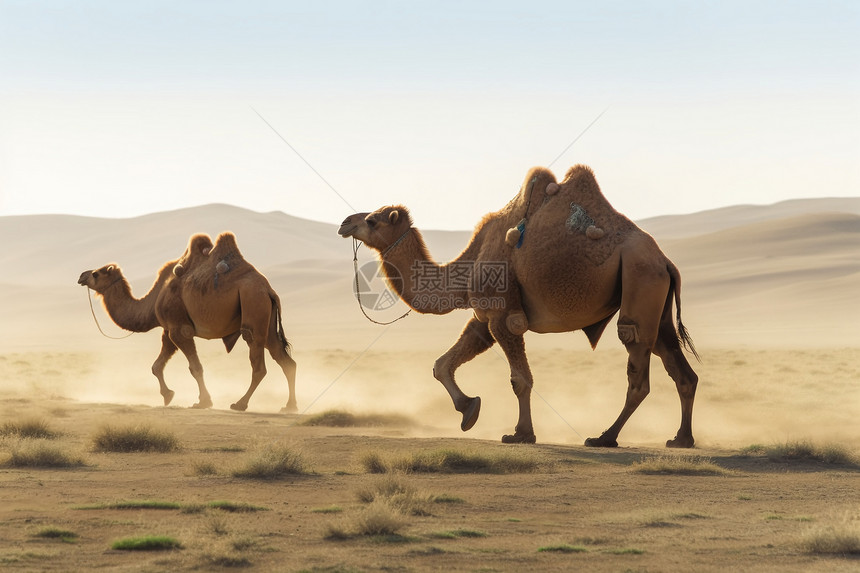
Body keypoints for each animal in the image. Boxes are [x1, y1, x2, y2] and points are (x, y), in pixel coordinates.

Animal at [78, 230, 298, 414]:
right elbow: (156, 366)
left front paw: (204, 402)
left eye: (96, 273)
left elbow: (195, 367)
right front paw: (168, 396)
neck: (156, 297)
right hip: (266, 320)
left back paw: (240, 404)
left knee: (257, 361)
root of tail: (269, 290)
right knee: (285, 360)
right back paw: (289, 406)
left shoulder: (179, 328)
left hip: (253, 303)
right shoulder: (168, 330)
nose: (81, 275)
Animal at [338, 164, 700, 446]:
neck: (468, 264)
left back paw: (605, 437)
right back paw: (680, 439)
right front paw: (469, 410)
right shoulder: (484, 316)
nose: (345, 222)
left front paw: (521, 433)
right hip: (655, 301)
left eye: (373, 220)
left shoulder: (502, 313)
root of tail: (666, 262)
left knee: (637, 365)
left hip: (640, 280)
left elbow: (519, 380)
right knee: (679, 367)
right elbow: (443, 364)